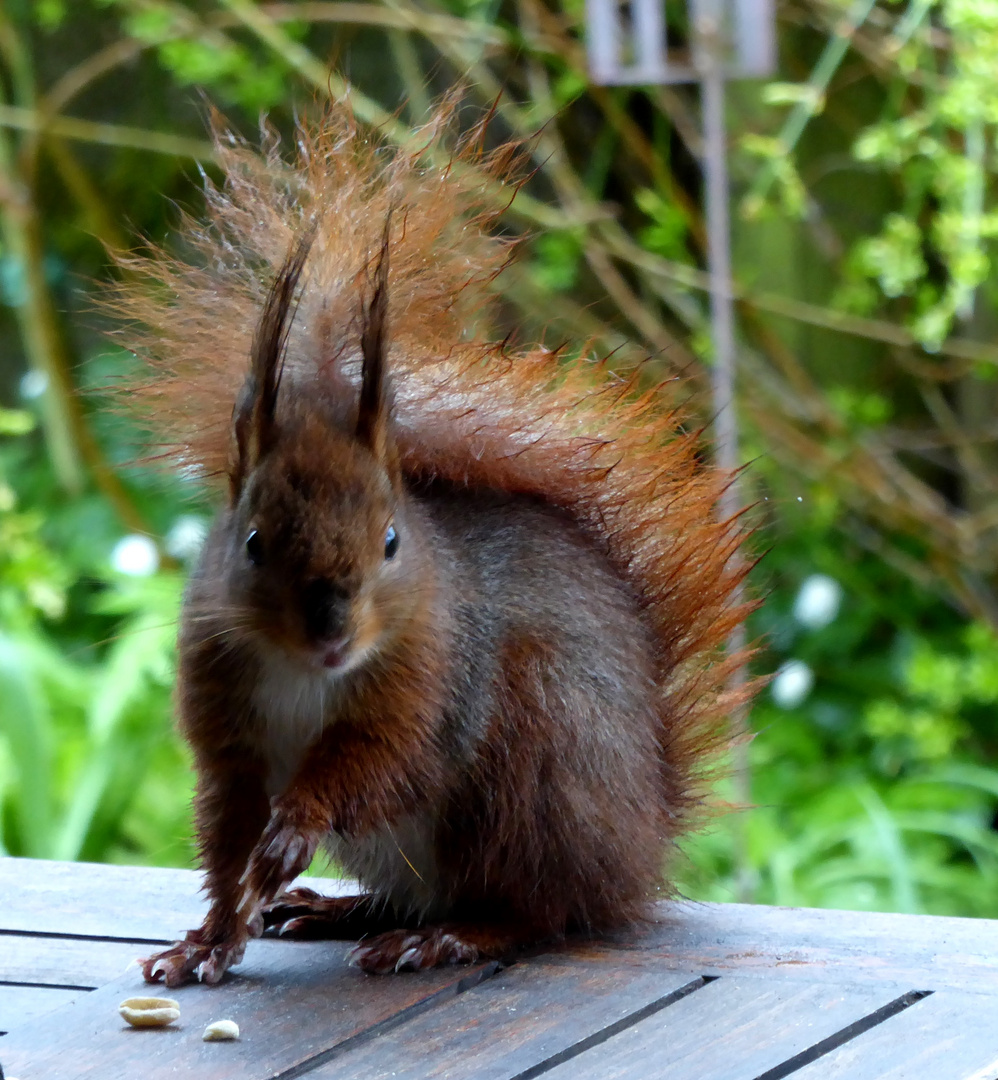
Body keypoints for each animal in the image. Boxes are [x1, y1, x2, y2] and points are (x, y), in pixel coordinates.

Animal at [109, 97, 747, 984]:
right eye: (253, 542)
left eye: (390, 540)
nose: (331, 630)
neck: (303, 675)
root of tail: (642, 840)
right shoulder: (225, 718)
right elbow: (229, 840)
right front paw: (209, 939)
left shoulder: (432, 684)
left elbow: (381, 768)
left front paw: (293, 830)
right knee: (428, 895)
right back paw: (337, 910)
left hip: (532, 769)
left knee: (533, 910)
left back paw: (446, 936)